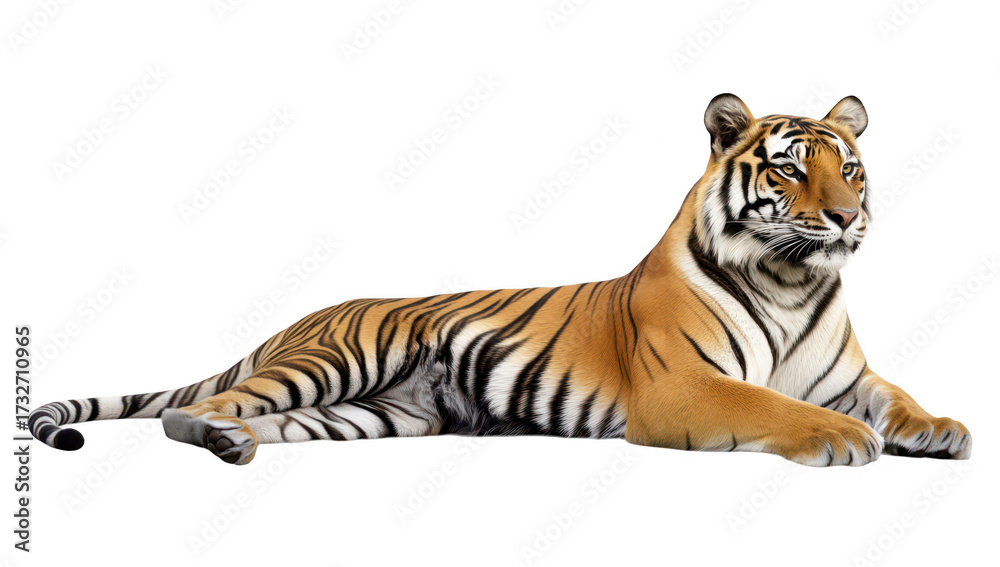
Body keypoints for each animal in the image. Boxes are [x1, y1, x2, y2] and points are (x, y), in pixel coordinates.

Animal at [30, 94, 972, 467]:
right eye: (788, 170)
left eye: (850, 169)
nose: (847, 218)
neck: (790, 280)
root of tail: (291, 321)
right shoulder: (681, 387)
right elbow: (774, 405)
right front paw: (842, 439)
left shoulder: (847, 374)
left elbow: (896, 396)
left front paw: (943, 428)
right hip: (336, 360)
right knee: (198, 407)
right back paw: (215, 435)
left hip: (373, 413)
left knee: (267, 419)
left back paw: (238, 444)